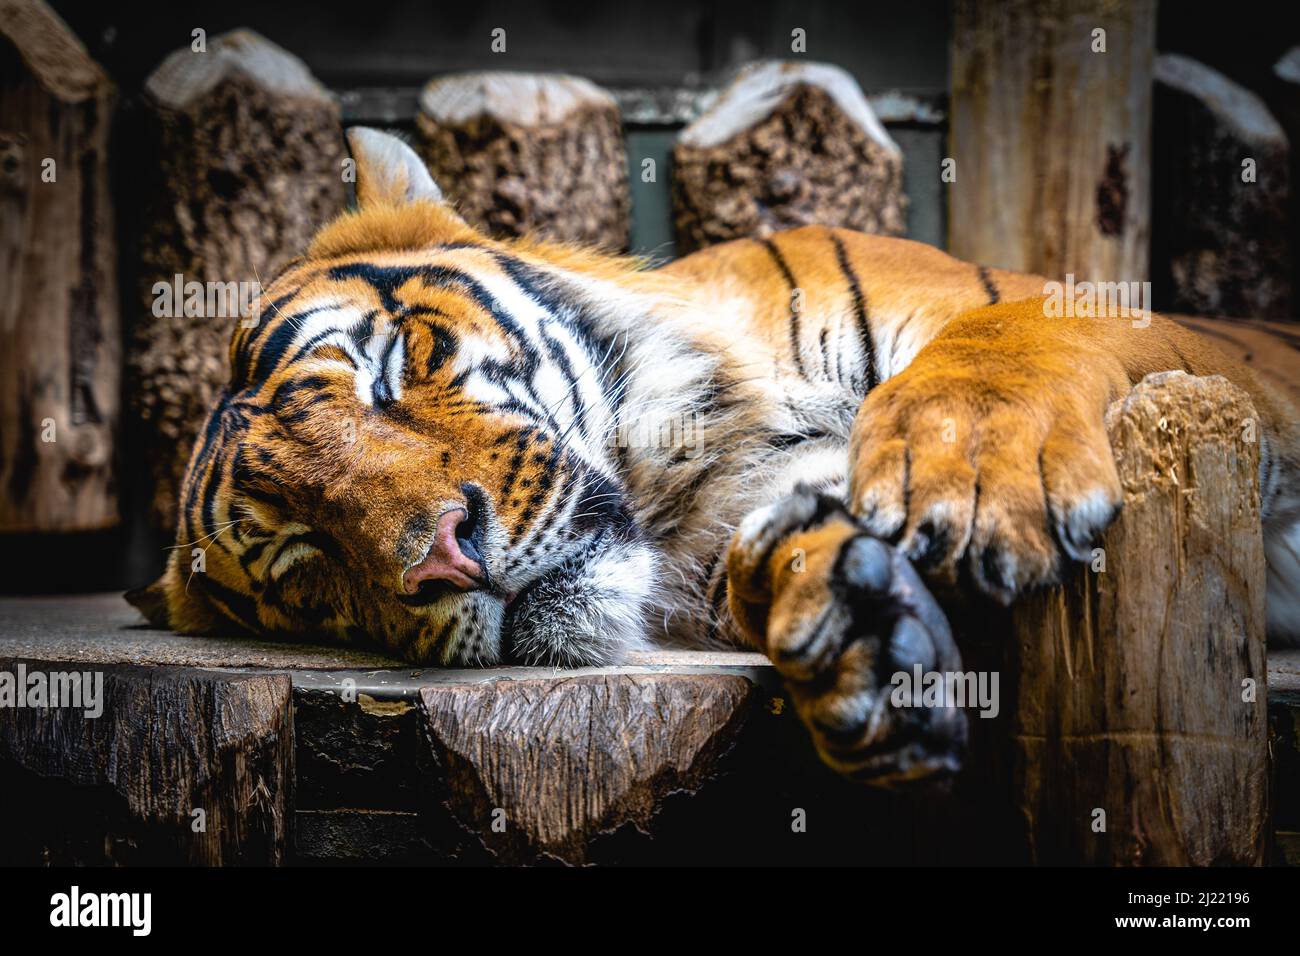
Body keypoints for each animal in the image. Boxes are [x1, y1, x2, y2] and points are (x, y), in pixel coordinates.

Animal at [124, 127, 1300, 785]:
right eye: (307, 565)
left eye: (394, 368)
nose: (445, 559)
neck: (689, 472)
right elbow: (766, 554)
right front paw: (853, 629)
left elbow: (1004, 334)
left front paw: (967, 477)